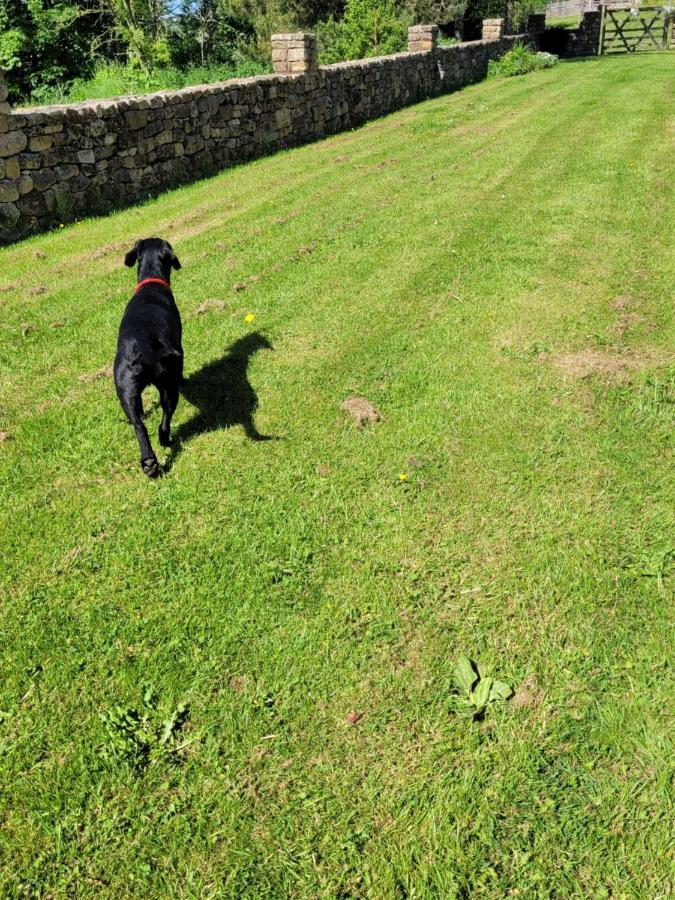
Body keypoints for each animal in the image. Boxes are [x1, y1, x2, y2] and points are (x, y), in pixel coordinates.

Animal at [114, 239, 182, 478]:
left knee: (138, 425)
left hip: (125, 388)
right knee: (165, 419)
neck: (150, 284)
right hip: (170, 385)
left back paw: (149, 462)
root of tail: (144, 346)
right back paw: (165, 441)